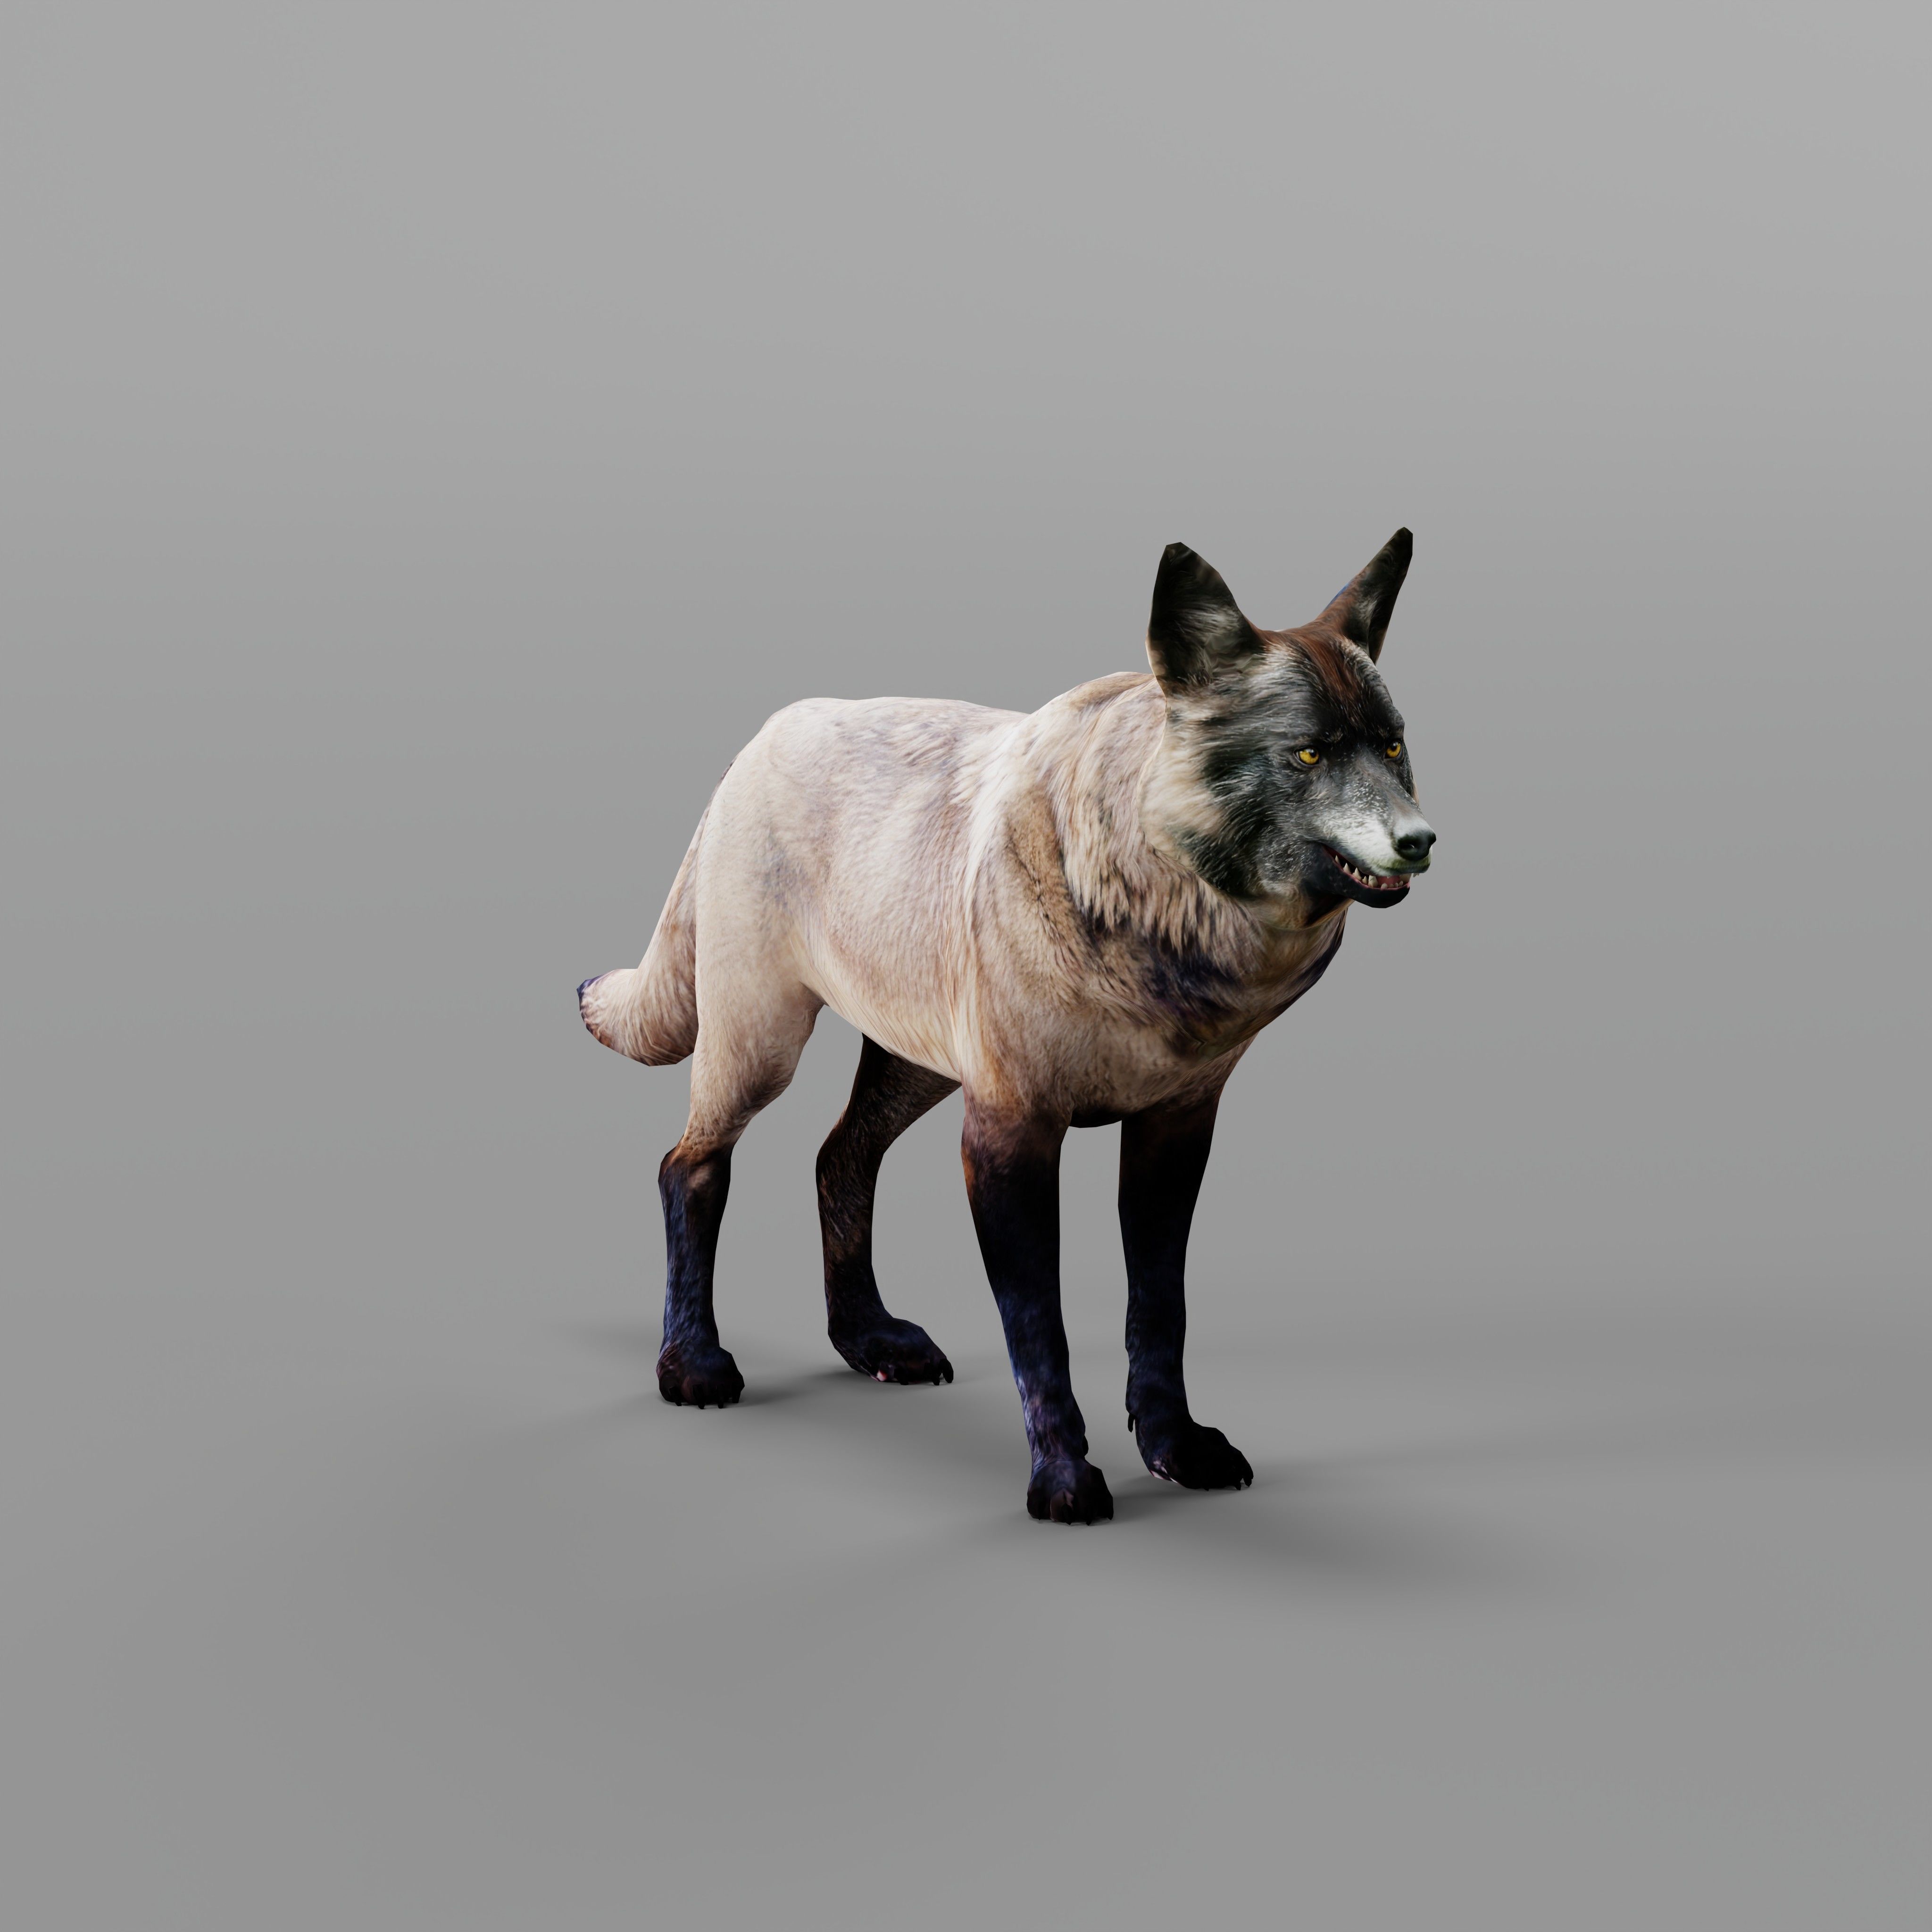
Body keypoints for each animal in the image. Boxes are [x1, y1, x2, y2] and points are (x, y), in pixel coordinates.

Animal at [579, 532, 1434, 1523]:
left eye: (1393, 746)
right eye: (1305, 753)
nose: (1422, 841)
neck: (1158, 930)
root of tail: (763, 737)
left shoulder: (1173, 1131)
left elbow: (1161, 1310)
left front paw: (1174, 1447)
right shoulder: (1008, 1132)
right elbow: (1041, 1332)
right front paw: (1063, 1481)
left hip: (916, 1065)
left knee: (838, 1157)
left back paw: (868, 1339)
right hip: (764, 1048)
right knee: (689, 1167)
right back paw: (693, 1363)